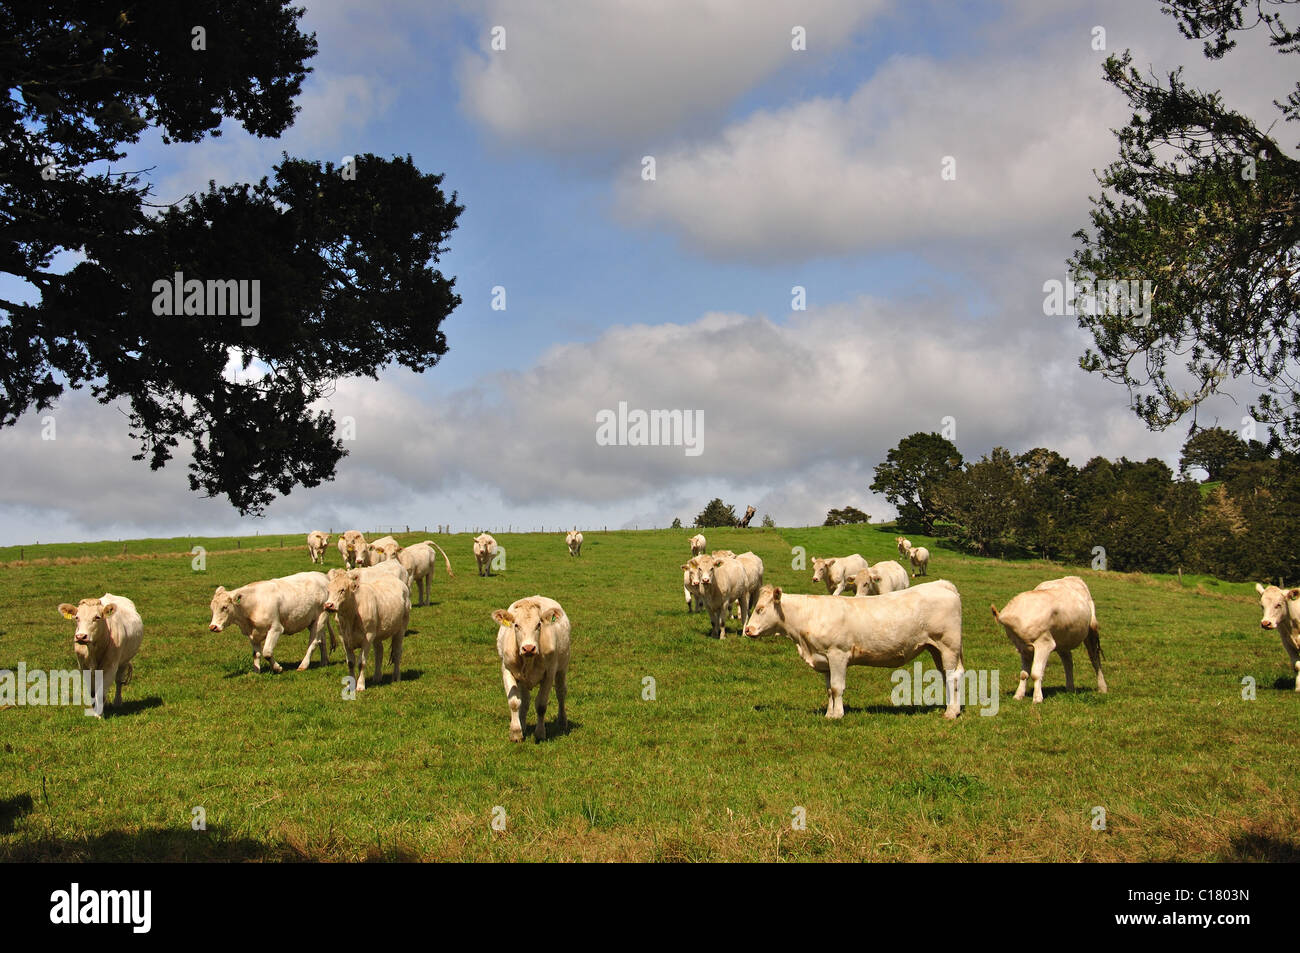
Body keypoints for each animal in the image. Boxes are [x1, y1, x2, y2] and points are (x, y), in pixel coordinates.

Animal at [488, 595, 572, 743]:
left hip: (562, 667)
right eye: (516, 625)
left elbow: (541, 705)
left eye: (538, 625)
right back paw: (523, 724)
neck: (528, 660)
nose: (528, 648)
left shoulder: (549, 673)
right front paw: (516, 733)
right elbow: (514, 702)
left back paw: (562, 722)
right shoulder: (507, 670)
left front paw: (540, 733)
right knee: (525, 701)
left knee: (561, 692)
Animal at [743, 579, 967, 712]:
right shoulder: (824, 659)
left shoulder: (838, 655)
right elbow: (829, 689)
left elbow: (837, 687)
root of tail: (942, 584)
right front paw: (829, 714)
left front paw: (837, 715)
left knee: (952, 676)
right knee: (948, 676)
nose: (748, 630)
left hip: (948, 645)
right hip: (936, 648)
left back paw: (951, 713)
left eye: (760, 609)